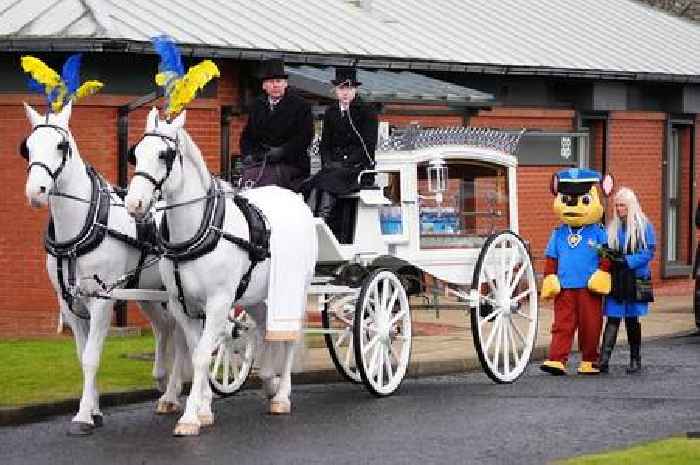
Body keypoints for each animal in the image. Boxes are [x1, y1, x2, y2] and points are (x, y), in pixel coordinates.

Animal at [21, 101, 187, 436]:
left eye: (61, 146)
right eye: (27, 147)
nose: (36, 191)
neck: (83, 225)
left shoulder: (102, 300)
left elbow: (91, 358)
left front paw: (84, 416)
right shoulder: (69, 303)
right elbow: (80, 354)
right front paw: (95, 409)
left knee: (181, 336)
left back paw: (172, 392)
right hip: (147, 292)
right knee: (167, 328)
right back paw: (165, 387)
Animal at [124, 108, 316, 436]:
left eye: (164, 155)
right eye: (135, 153)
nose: (134, 203)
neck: (200, 230)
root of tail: (296, 199)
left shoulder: (218, 303)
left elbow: (203, 354)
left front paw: (190, 417)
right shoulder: (182, 305)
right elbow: (194, 350)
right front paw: (203, 408)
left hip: (295, 291)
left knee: (289, 338)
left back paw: (281, 396)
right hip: (257, 295)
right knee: (264, 328)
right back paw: (268, 379)